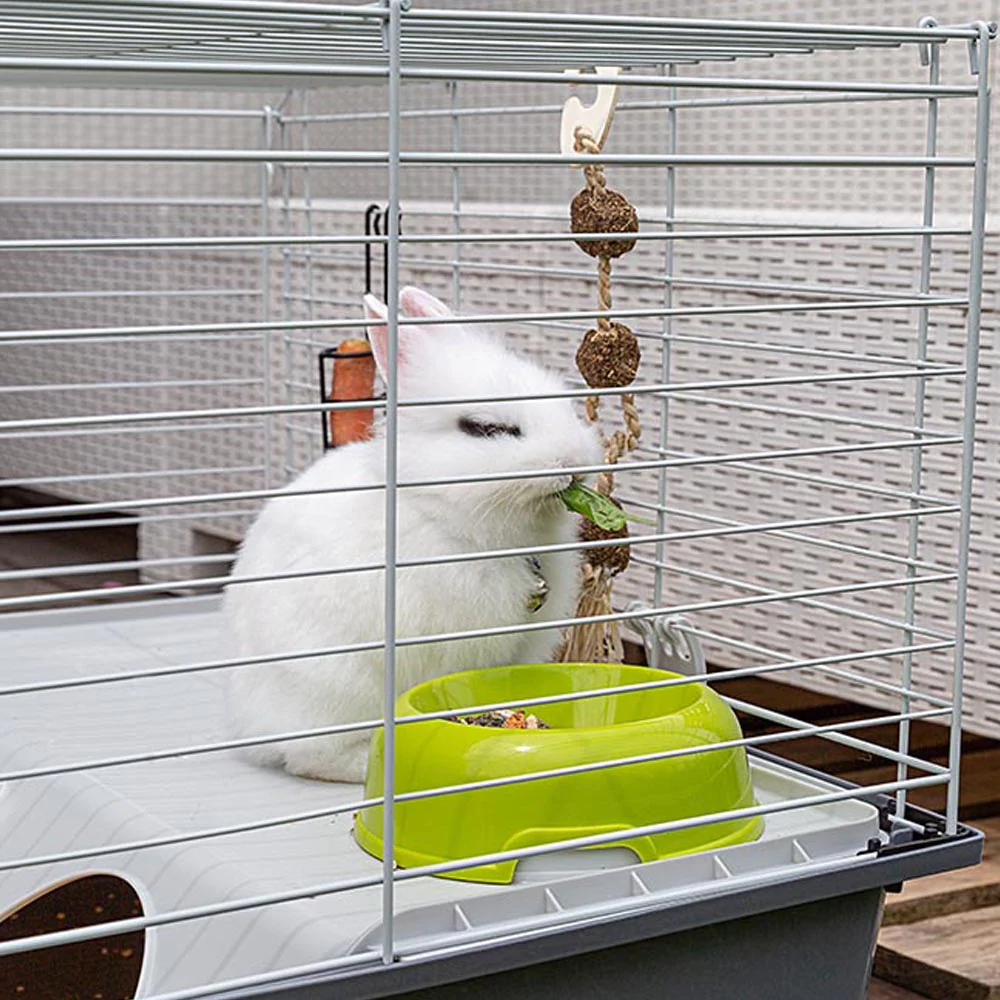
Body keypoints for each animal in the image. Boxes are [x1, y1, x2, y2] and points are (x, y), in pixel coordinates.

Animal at [224, 285, 602, 783]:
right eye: (486, 429)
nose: (574, 461)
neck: (440, 512)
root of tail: (247, 721)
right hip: (337, 685)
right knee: (311, 756)